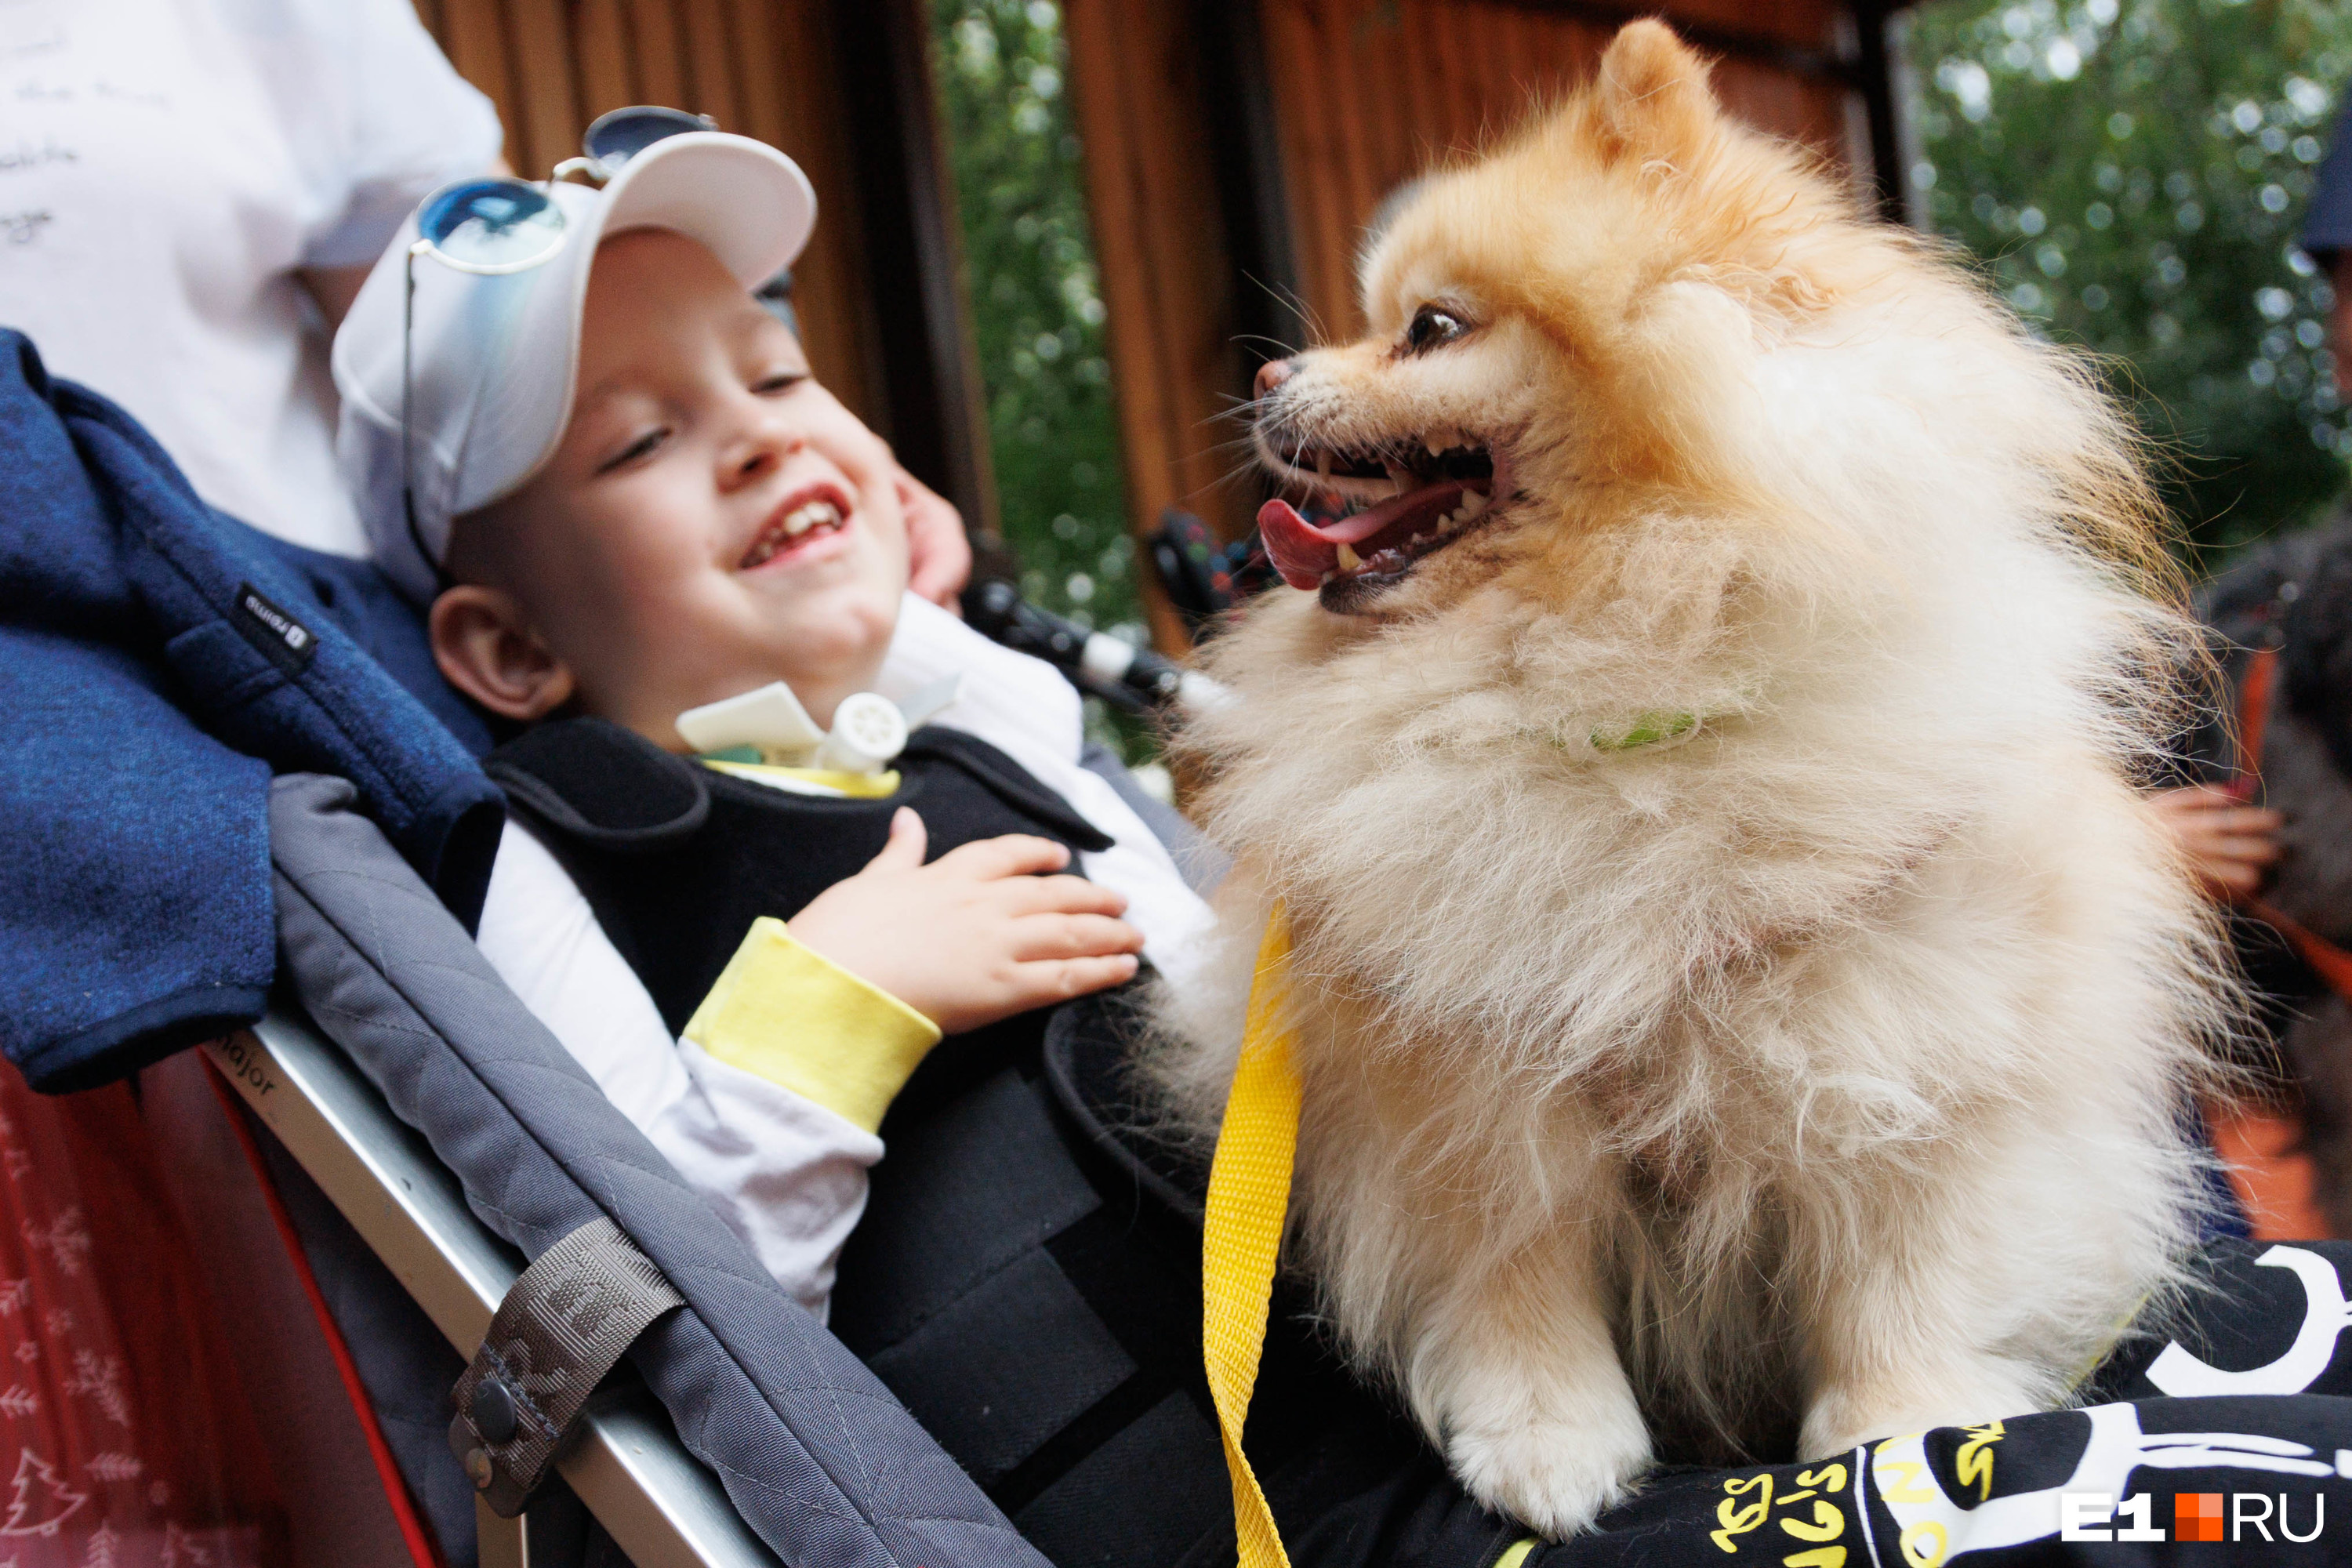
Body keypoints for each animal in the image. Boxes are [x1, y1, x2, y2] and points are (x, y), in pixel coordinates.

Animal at [1157, 18, 2239, 1542]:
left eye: (1430, 329)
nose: (1262, 380)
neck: (1617, 706)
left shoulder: (1918, 1036)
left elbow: (1910, 1260)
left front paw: (1905, 1426)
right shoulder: (1462, 1088)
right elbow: (1513, 1270)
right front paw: (1546, 1439)